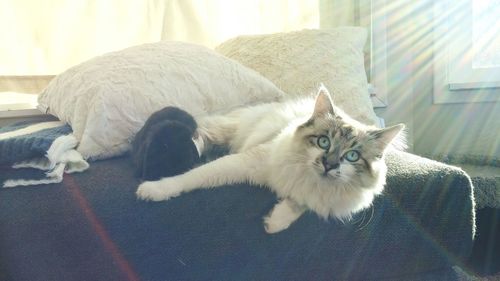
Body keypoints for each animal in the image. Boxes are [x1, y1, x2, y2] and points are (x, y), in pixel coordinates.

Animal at [138, 86, 406, 233]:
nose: (329, 165)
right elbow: (190, 178)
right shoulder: (244, 162)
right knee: (200, 134)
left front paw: (275, 221)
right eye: (323, 142)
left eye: (352, 156)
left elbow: (298, 205)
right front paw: (153, 190)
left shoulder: (316, 198)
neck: (311, 180)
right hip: (223, 130)